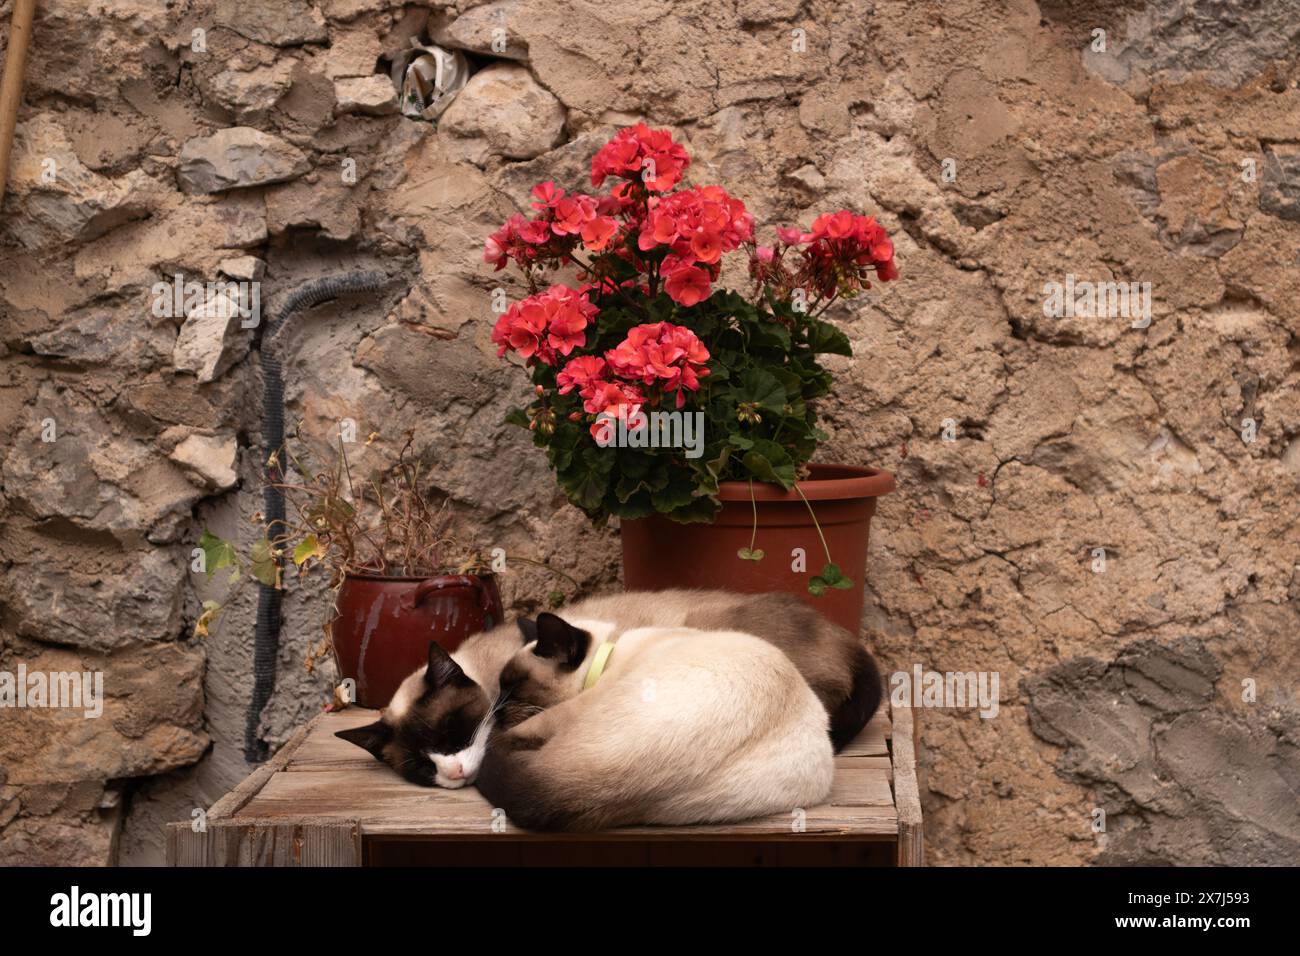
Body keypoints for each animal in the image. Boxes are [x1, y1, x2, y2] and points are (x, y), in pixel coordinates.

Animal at [478, 621, 832, 832]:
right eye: (502, 685)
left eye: (513, 686)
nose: (496, 709)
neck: (611, 652)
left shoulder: (576, 705)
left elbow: (527, 727)